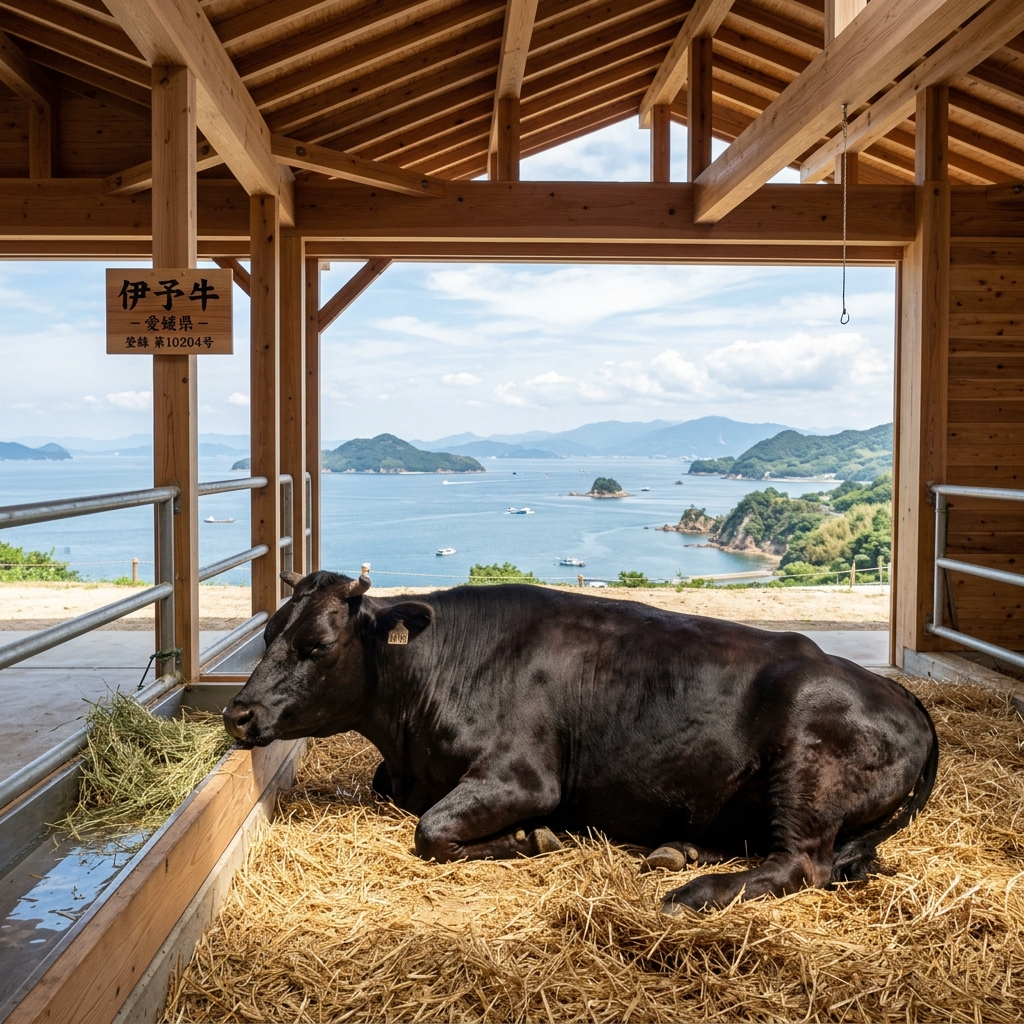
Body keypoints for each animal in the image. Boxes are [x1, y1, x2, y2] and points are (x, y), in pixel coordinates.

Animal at [223, 571, 938, 913]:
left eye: (317, 645)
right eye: (268, 632)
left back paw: (694, 893)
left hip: (806, 755)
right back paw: (679, 849)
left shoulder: (526, 776)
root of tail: (902, 695)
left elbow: (430, 830)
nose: (238, 713)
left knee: (804, 864)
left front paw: (533, 838)